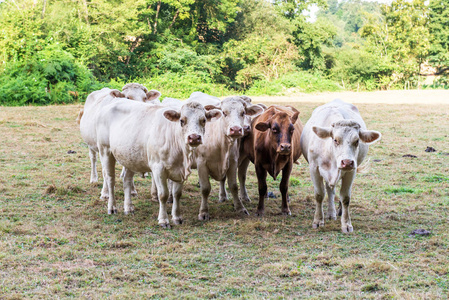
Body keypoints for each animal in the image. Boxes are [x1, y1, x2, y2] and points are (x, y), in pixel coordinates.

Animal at [300, 99, 380, 233]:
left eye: (357, 141)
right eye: (335, 140)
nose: (347, 162)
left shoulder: (351, 172)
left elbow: (345, 197)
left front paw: (346, 224)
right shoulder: (314, 169)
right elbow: (319, 195)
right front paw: (318, 220)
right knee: (329, 190)